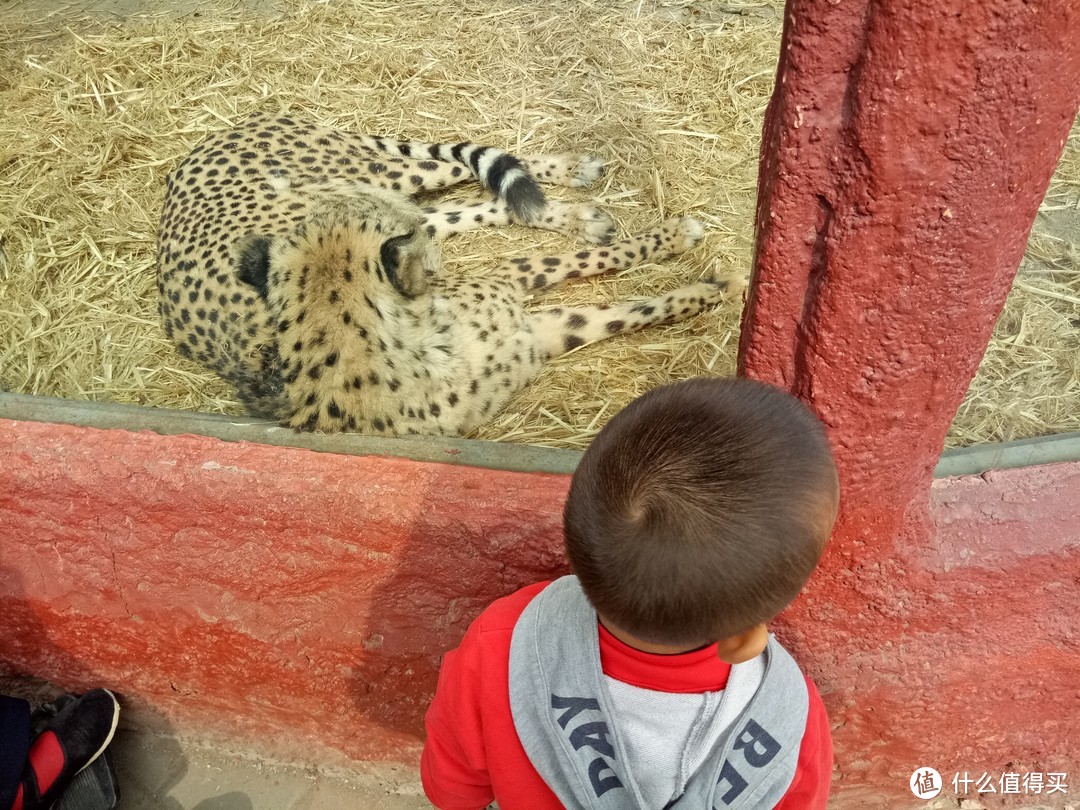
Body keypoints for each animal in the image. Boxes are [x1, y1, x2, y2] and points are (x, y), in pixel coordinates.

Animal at [156, 114, 730, 438]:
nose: (429, 262)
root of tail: (213, 139)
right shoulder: (526, 312)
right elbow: (602, 284)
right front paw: (686, 257)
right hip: (386, 188)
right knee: (477, 198)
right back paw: (576, 212)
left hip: (377, 177)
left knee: (467, 176)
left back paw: (571, 177)